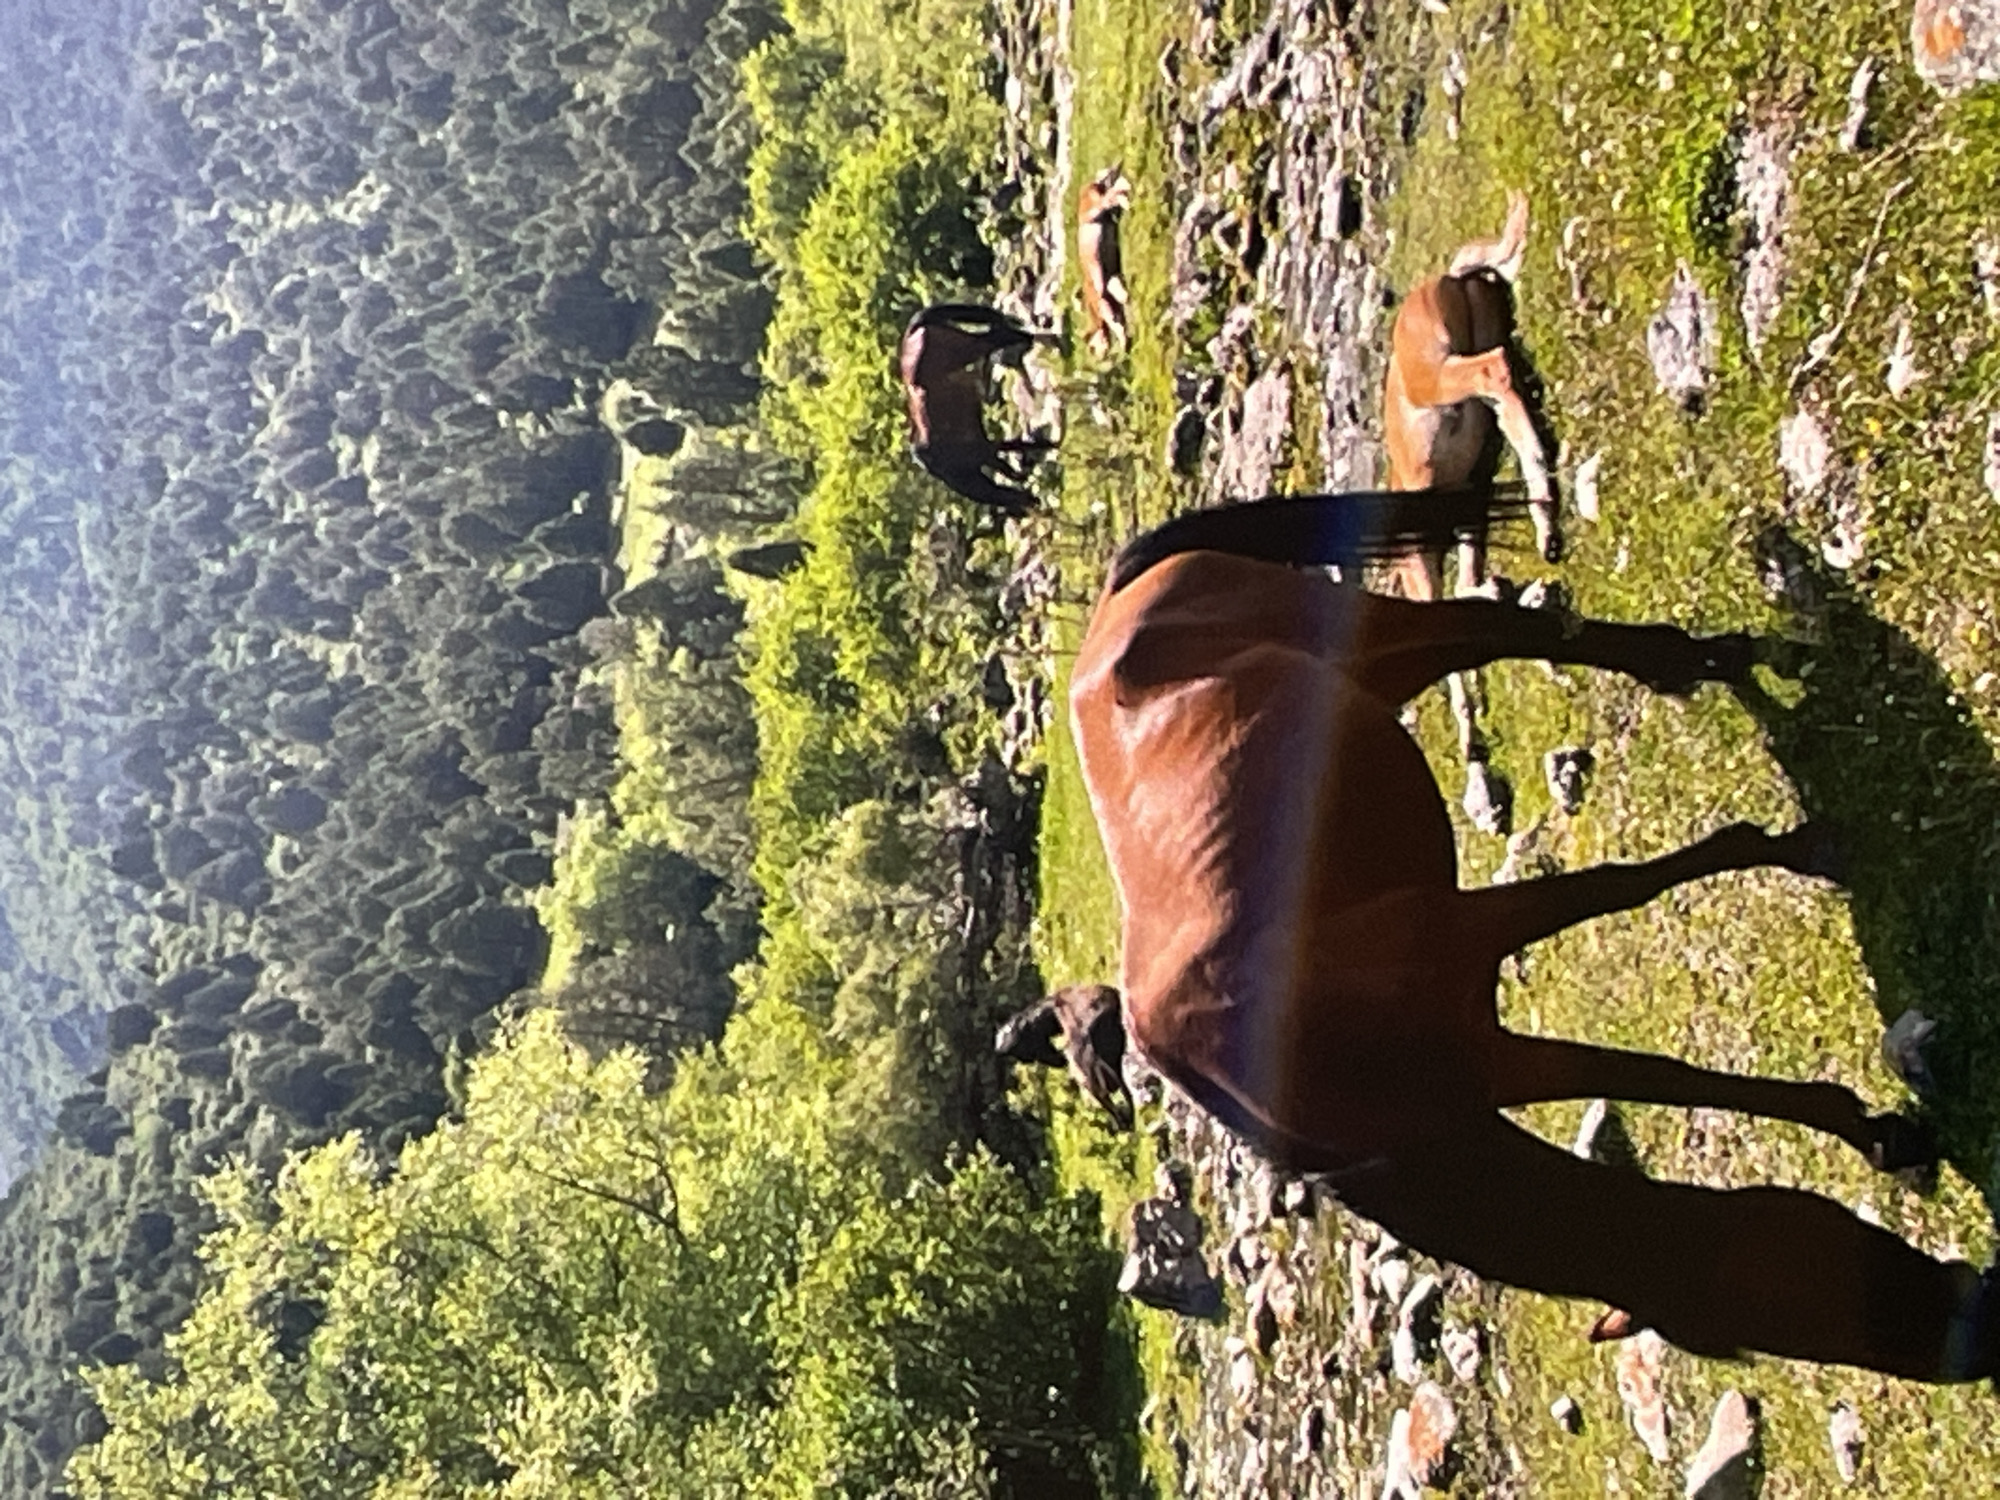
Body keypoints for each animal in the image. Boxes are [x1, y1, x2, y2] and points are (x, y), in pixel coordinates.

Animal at [1009, 487, 1993, 1380]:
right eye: (1791, 1310)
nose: (1975, 1332)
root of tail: (1119, 602)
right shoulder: (1492, 1063)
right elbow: (1651, 1075)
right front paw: (1878, 1132)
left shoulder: (1476, 933)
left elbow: (1625, 889)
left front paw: (1800, 848)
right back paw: (1697, 665)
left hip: (1378, 636)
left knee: (1501, 630)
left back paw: (1713, 655)